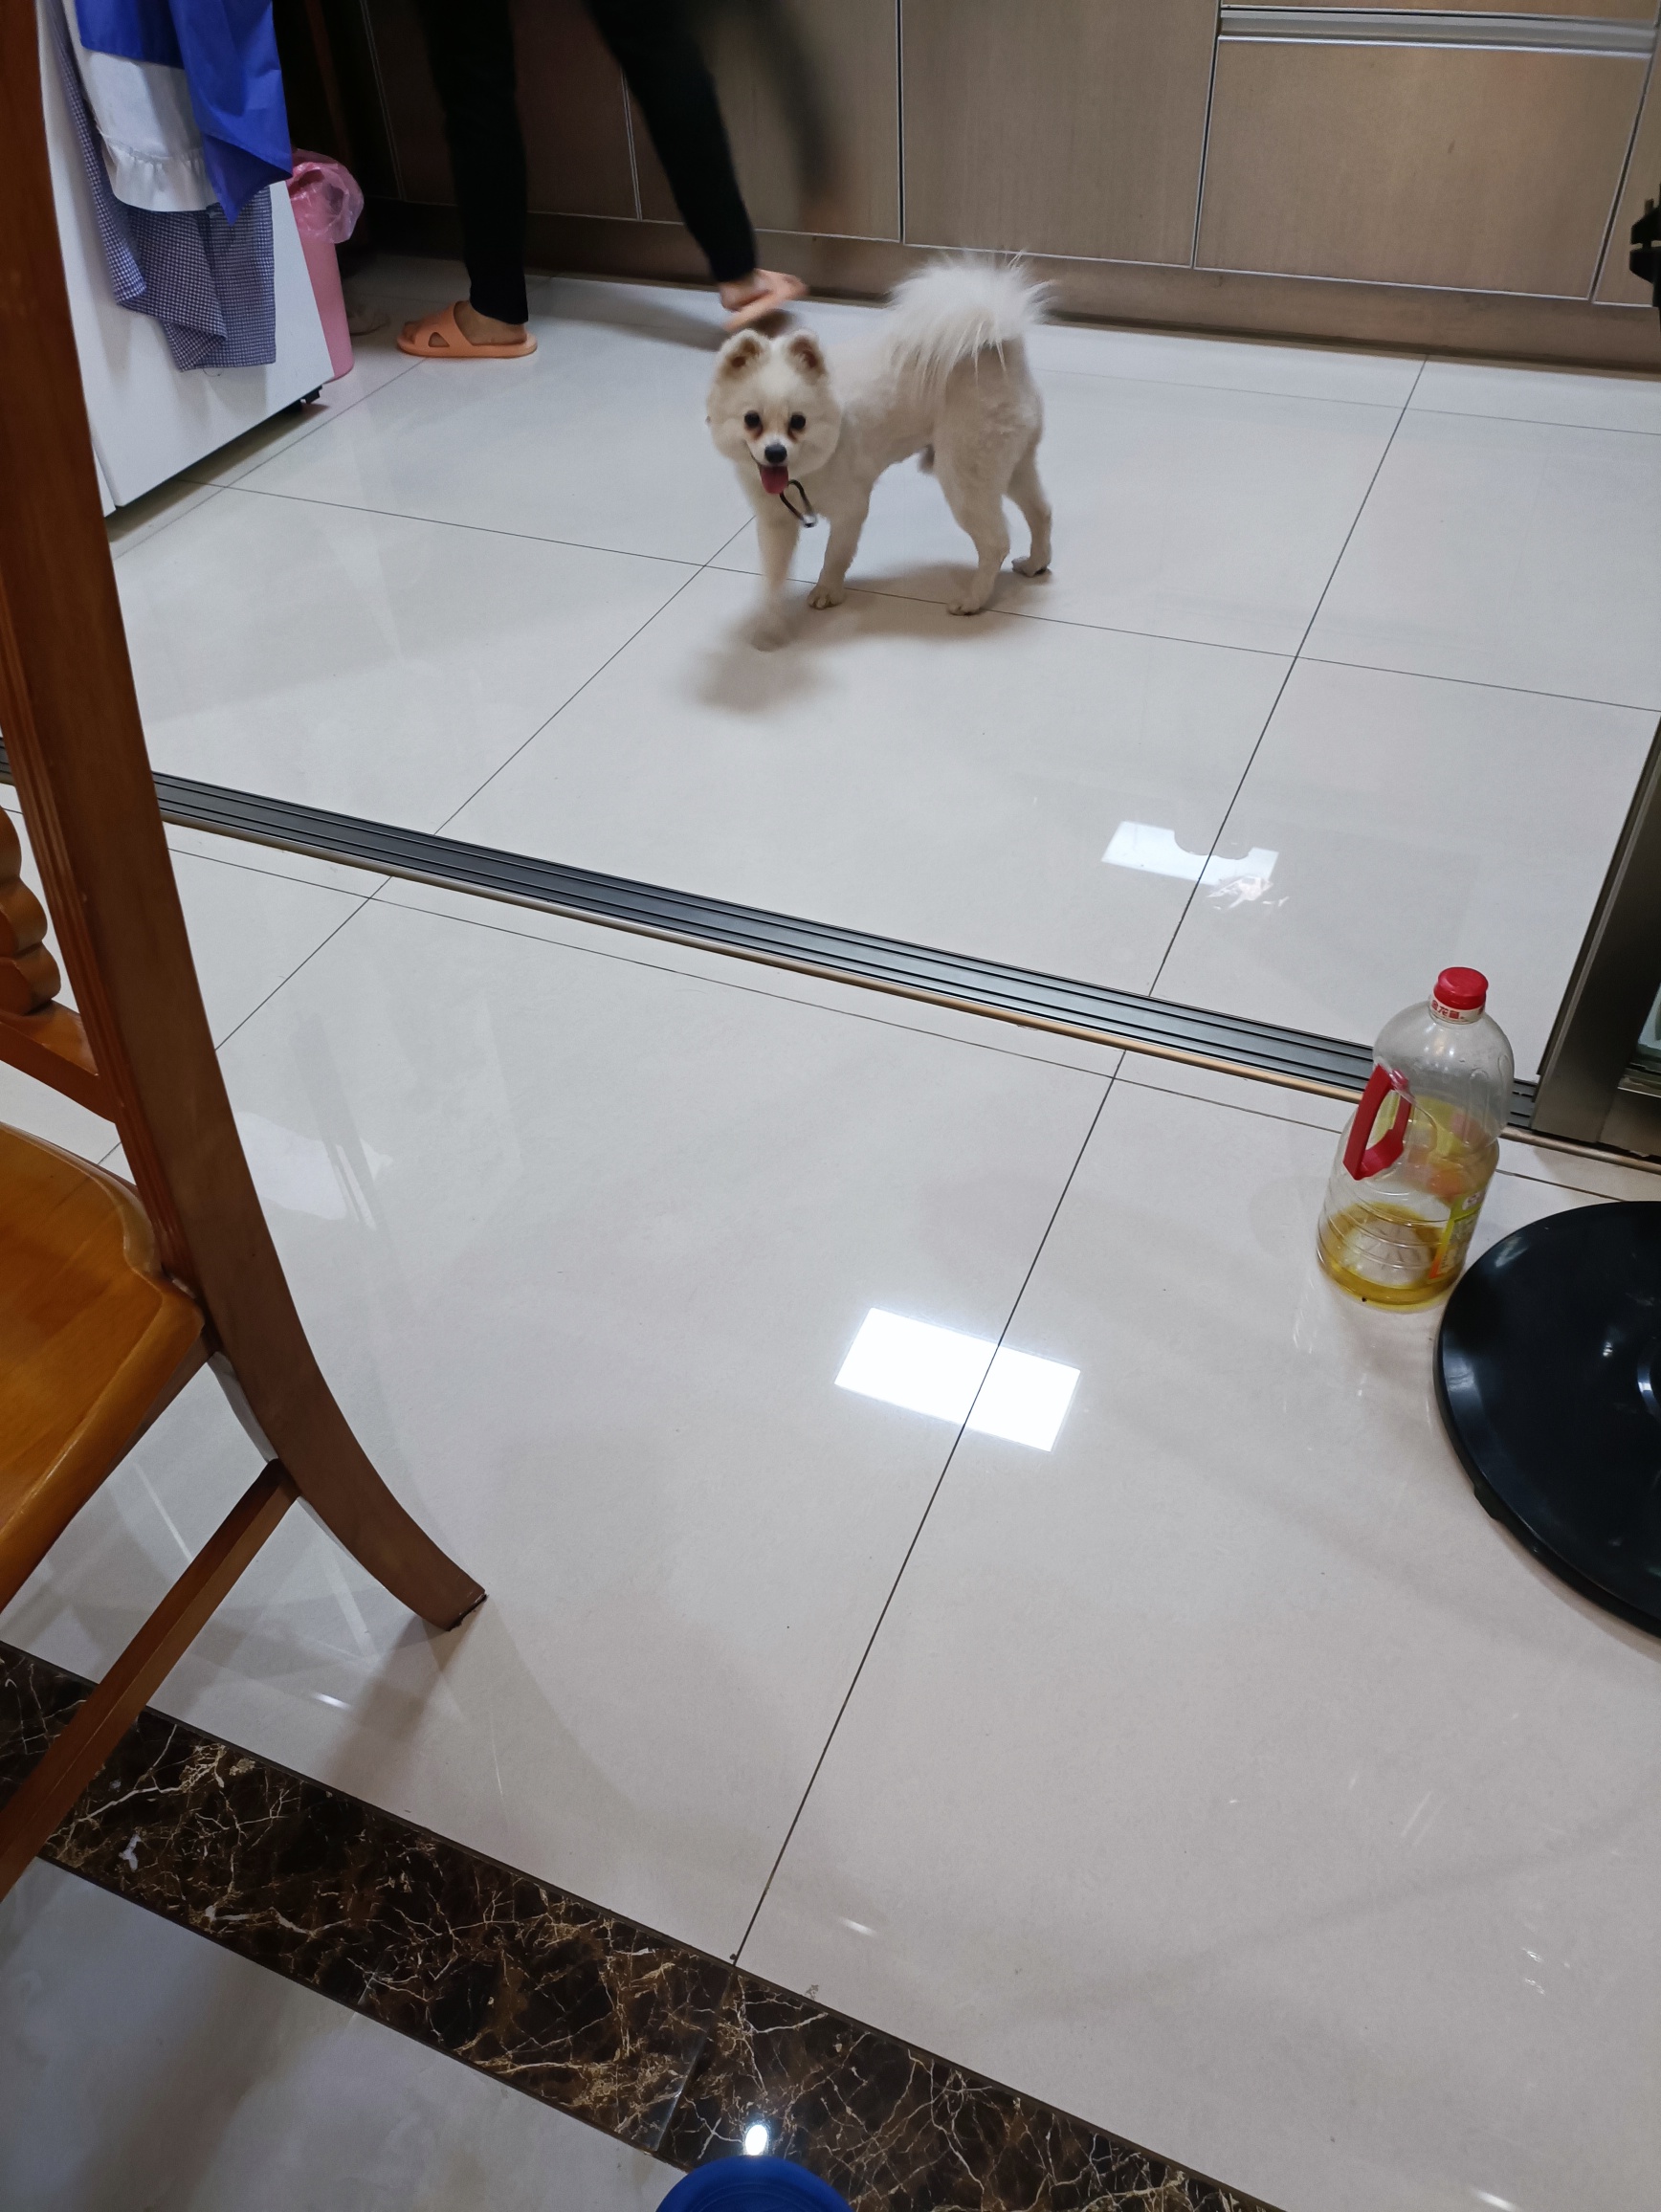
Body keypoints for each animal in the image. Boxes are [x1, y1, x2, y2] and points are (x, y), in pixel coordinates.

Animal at [706, 261, 1051, 644]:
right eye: (752, 420)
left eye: (798, 421)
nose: (776, 452)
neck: (803, 472)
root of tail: (1002, 347)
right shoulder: (775, 523)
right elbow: (773, 577)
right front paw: (771, 624)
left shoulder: (851, 510)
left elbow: (835, 555)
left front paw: (827, 591)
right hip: (1011, 466)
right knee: (1041, 512)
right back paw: (1036, 563)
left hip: (965, 480)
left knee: (995, 542)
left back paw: (973, 600)